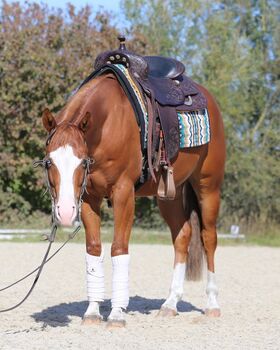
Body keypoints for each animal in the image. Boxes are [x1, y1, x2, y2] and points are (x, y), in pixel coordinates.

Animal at [41, 72, 225, 326]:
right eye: (49, 162)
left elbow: (119, 248)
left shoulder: (124, 193)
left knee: (209, 238)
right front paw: (92, 312)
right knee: (183, 237)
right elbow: (94, 249)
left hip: (208, 186)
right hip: (170, 195)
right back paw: (170, 304)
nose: (66, 212)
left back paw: (212, 304)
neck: (108, 124)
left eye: (82, 162)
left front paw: (117, 314)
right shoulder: (89, 197)